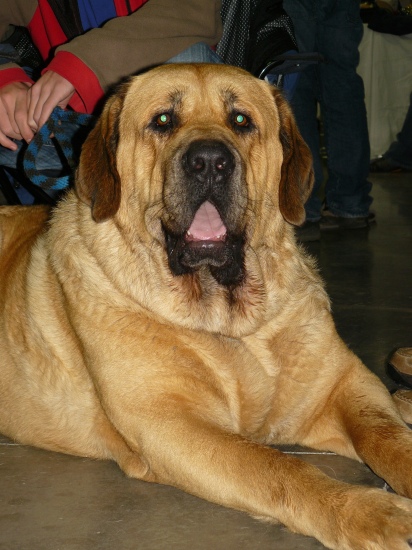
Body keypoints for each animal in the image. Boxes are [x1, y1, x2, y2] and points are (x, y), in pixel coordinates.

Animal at [0, 63, 412, 548]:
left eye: (241, 120)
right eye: (163, 120)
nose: (210, 161)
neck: (231, 321)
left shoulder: (344, 385)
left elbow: (386, 434)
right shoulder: (172, 424)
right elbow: (277, 466)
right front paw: (371, 512)